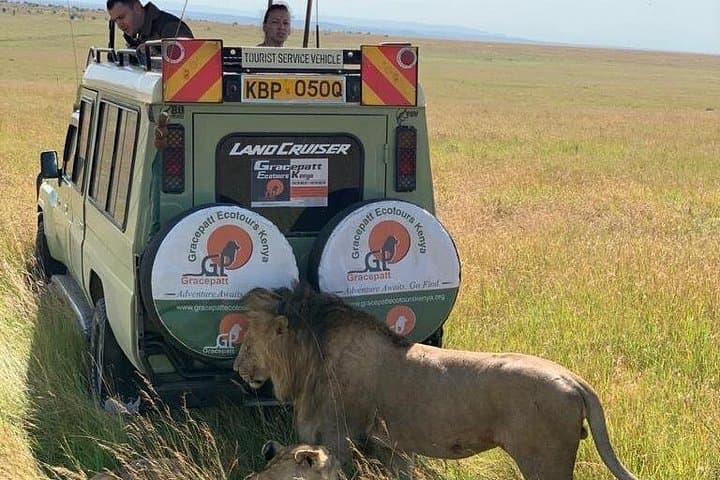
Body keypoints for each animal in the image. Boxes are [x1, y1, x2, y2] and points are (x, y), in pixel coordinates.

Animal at [233, 284, 638, 480]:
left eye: (248, 339)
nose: (237, 367)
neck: (306, 361)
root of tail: (574, 380)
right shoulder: (393, 447)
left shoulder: (338, 437)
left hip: (545, 460)